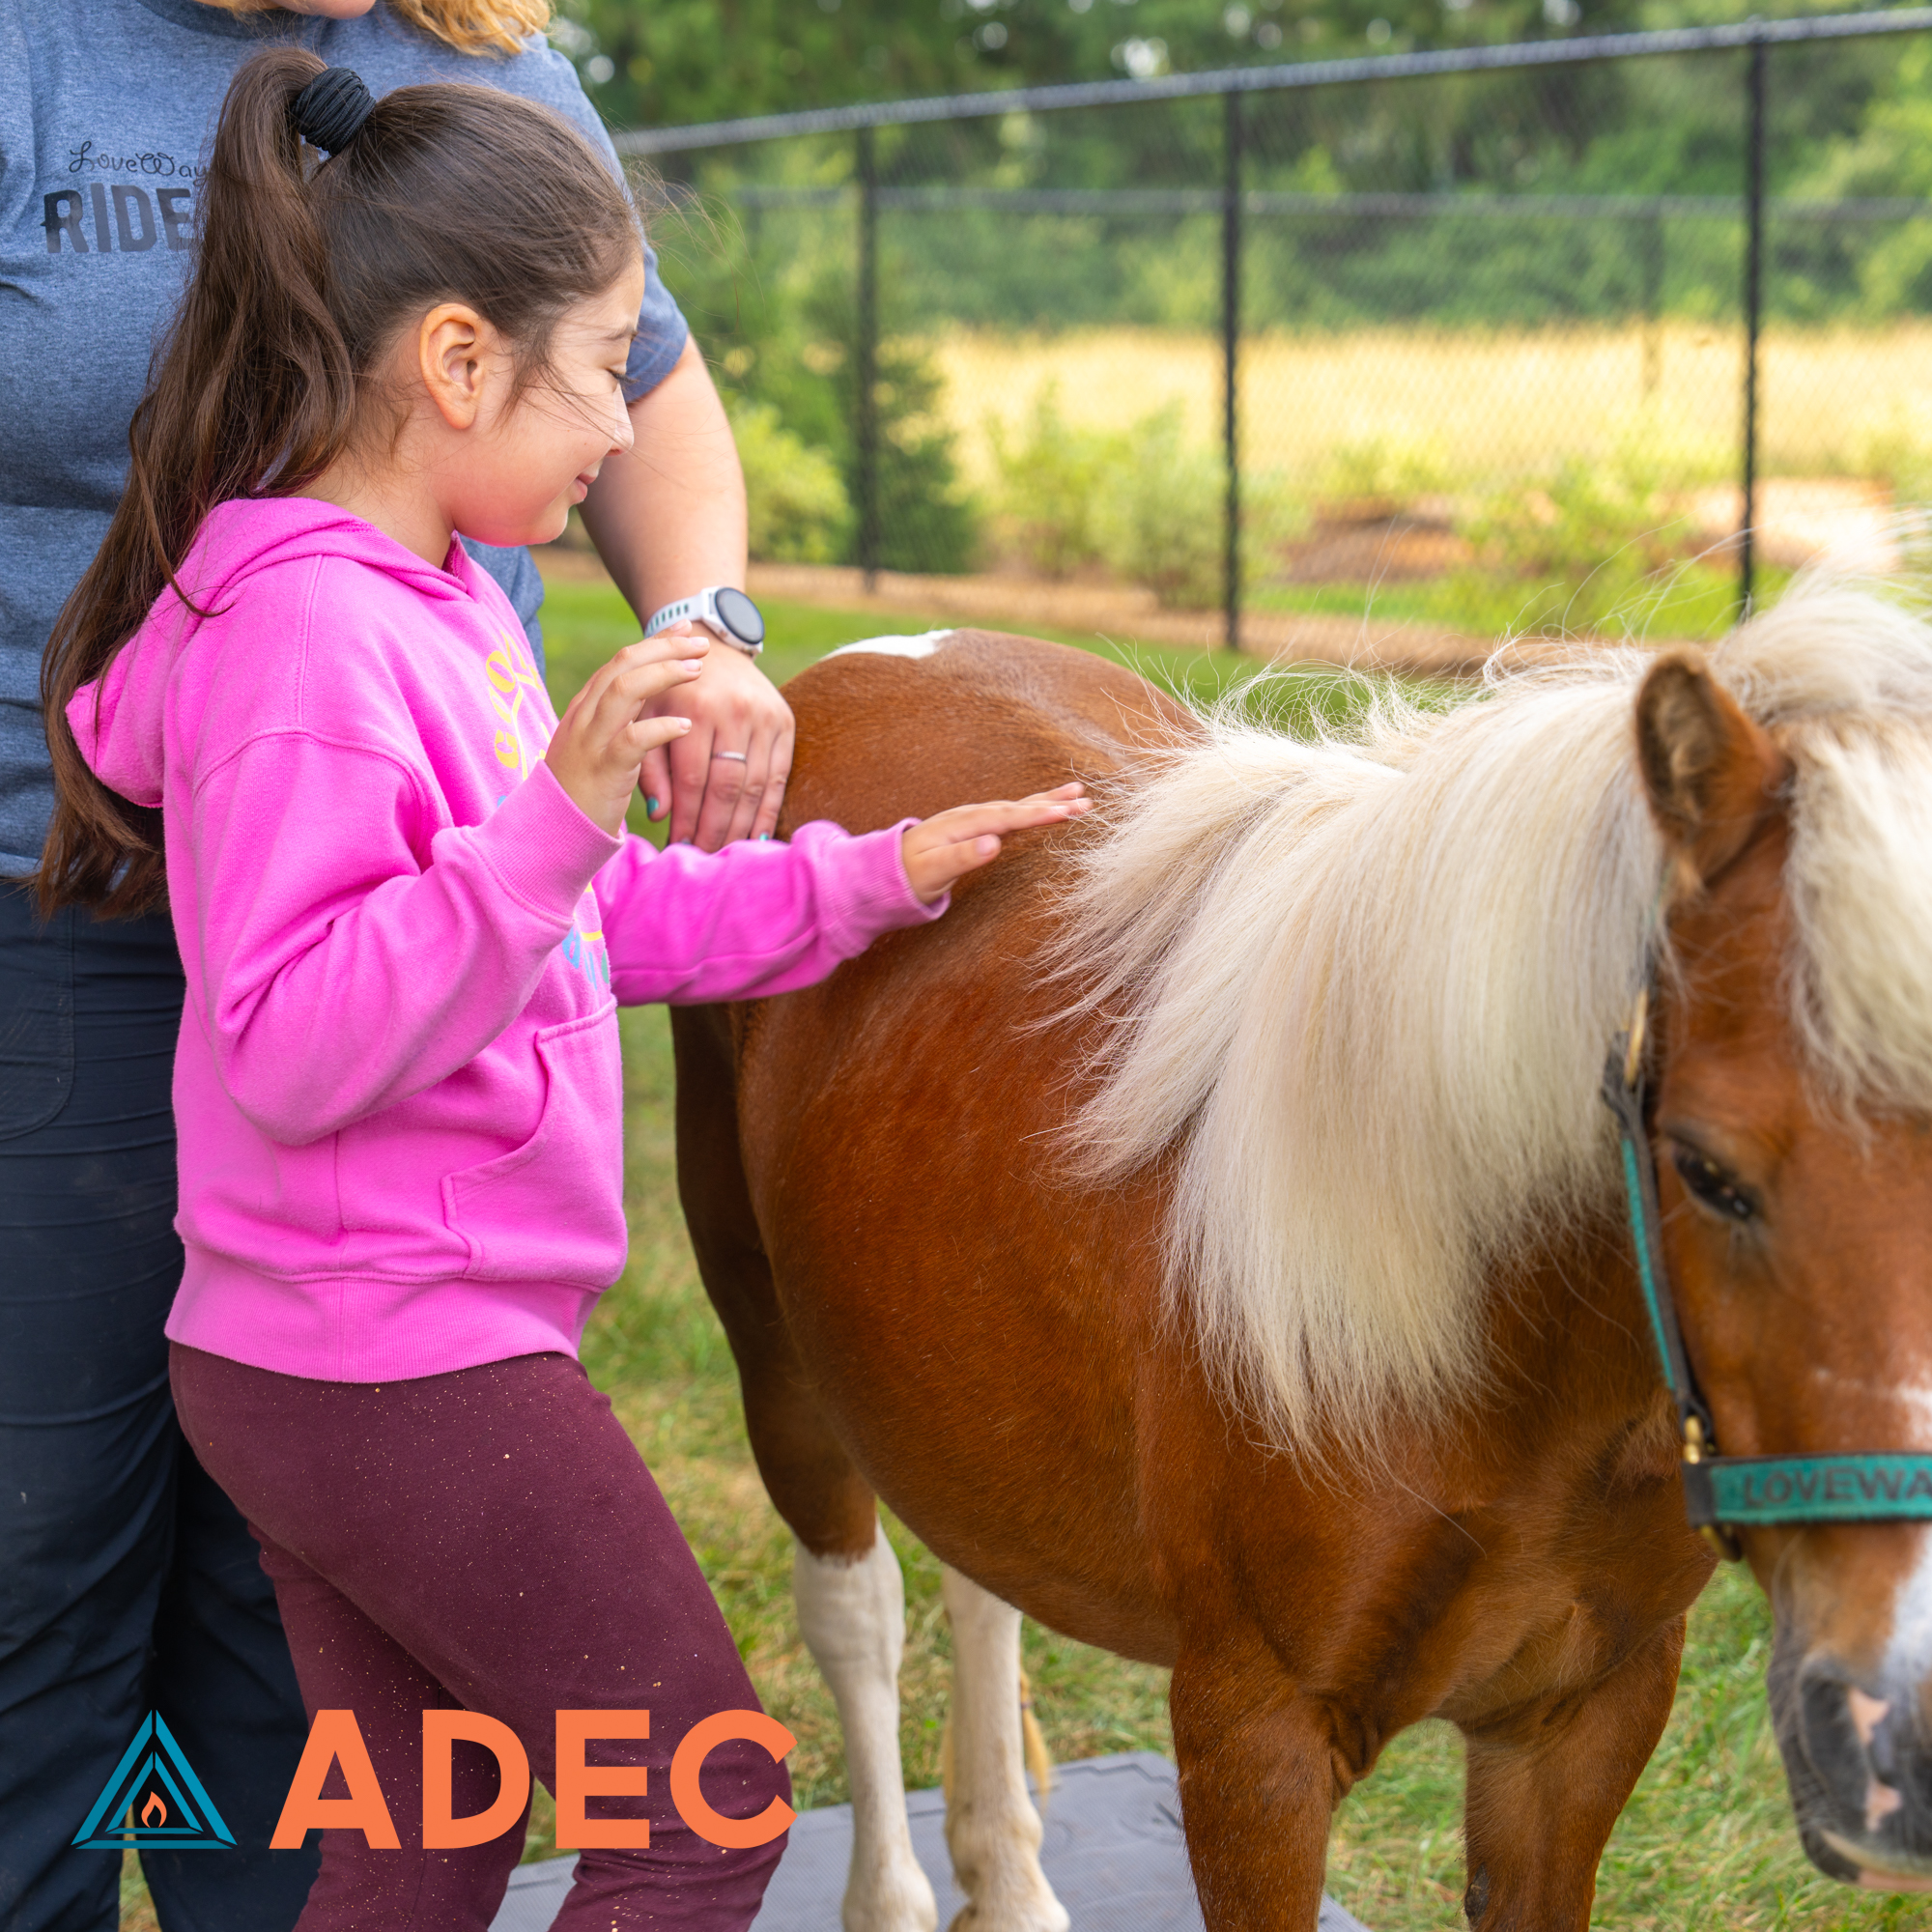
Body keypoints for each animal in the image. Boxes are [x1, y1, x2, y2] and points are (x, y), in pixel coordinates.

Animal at [670, 583, 1932, 1926]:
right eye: (1700, 1166)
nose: (1891, 1736)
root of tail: (871, 661)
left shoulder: (1579, 1721)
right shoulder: (1253, 1738)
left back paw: (1006, 1877)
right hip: (776, 1353)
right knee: (856, 1609)